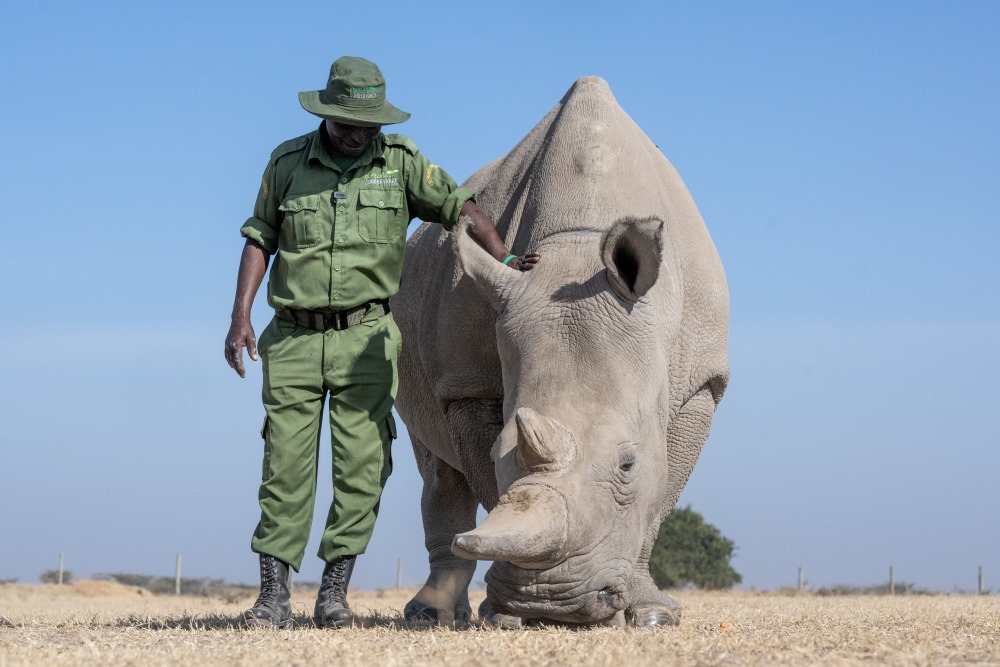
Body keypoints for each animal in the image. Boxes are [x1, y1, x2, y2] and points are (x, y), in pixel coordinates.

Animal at [390, 76, 729, 627]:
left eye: (627, 465)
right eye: (498, 449)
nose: (550, 603)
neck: (577, 250)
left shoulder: (701, 382)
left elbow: (660, 497)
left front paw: (651, 614)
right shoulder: (469, 383)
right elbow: (490, 484)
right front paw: (502, 615)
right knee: (436, 462)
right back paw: (432, 616)